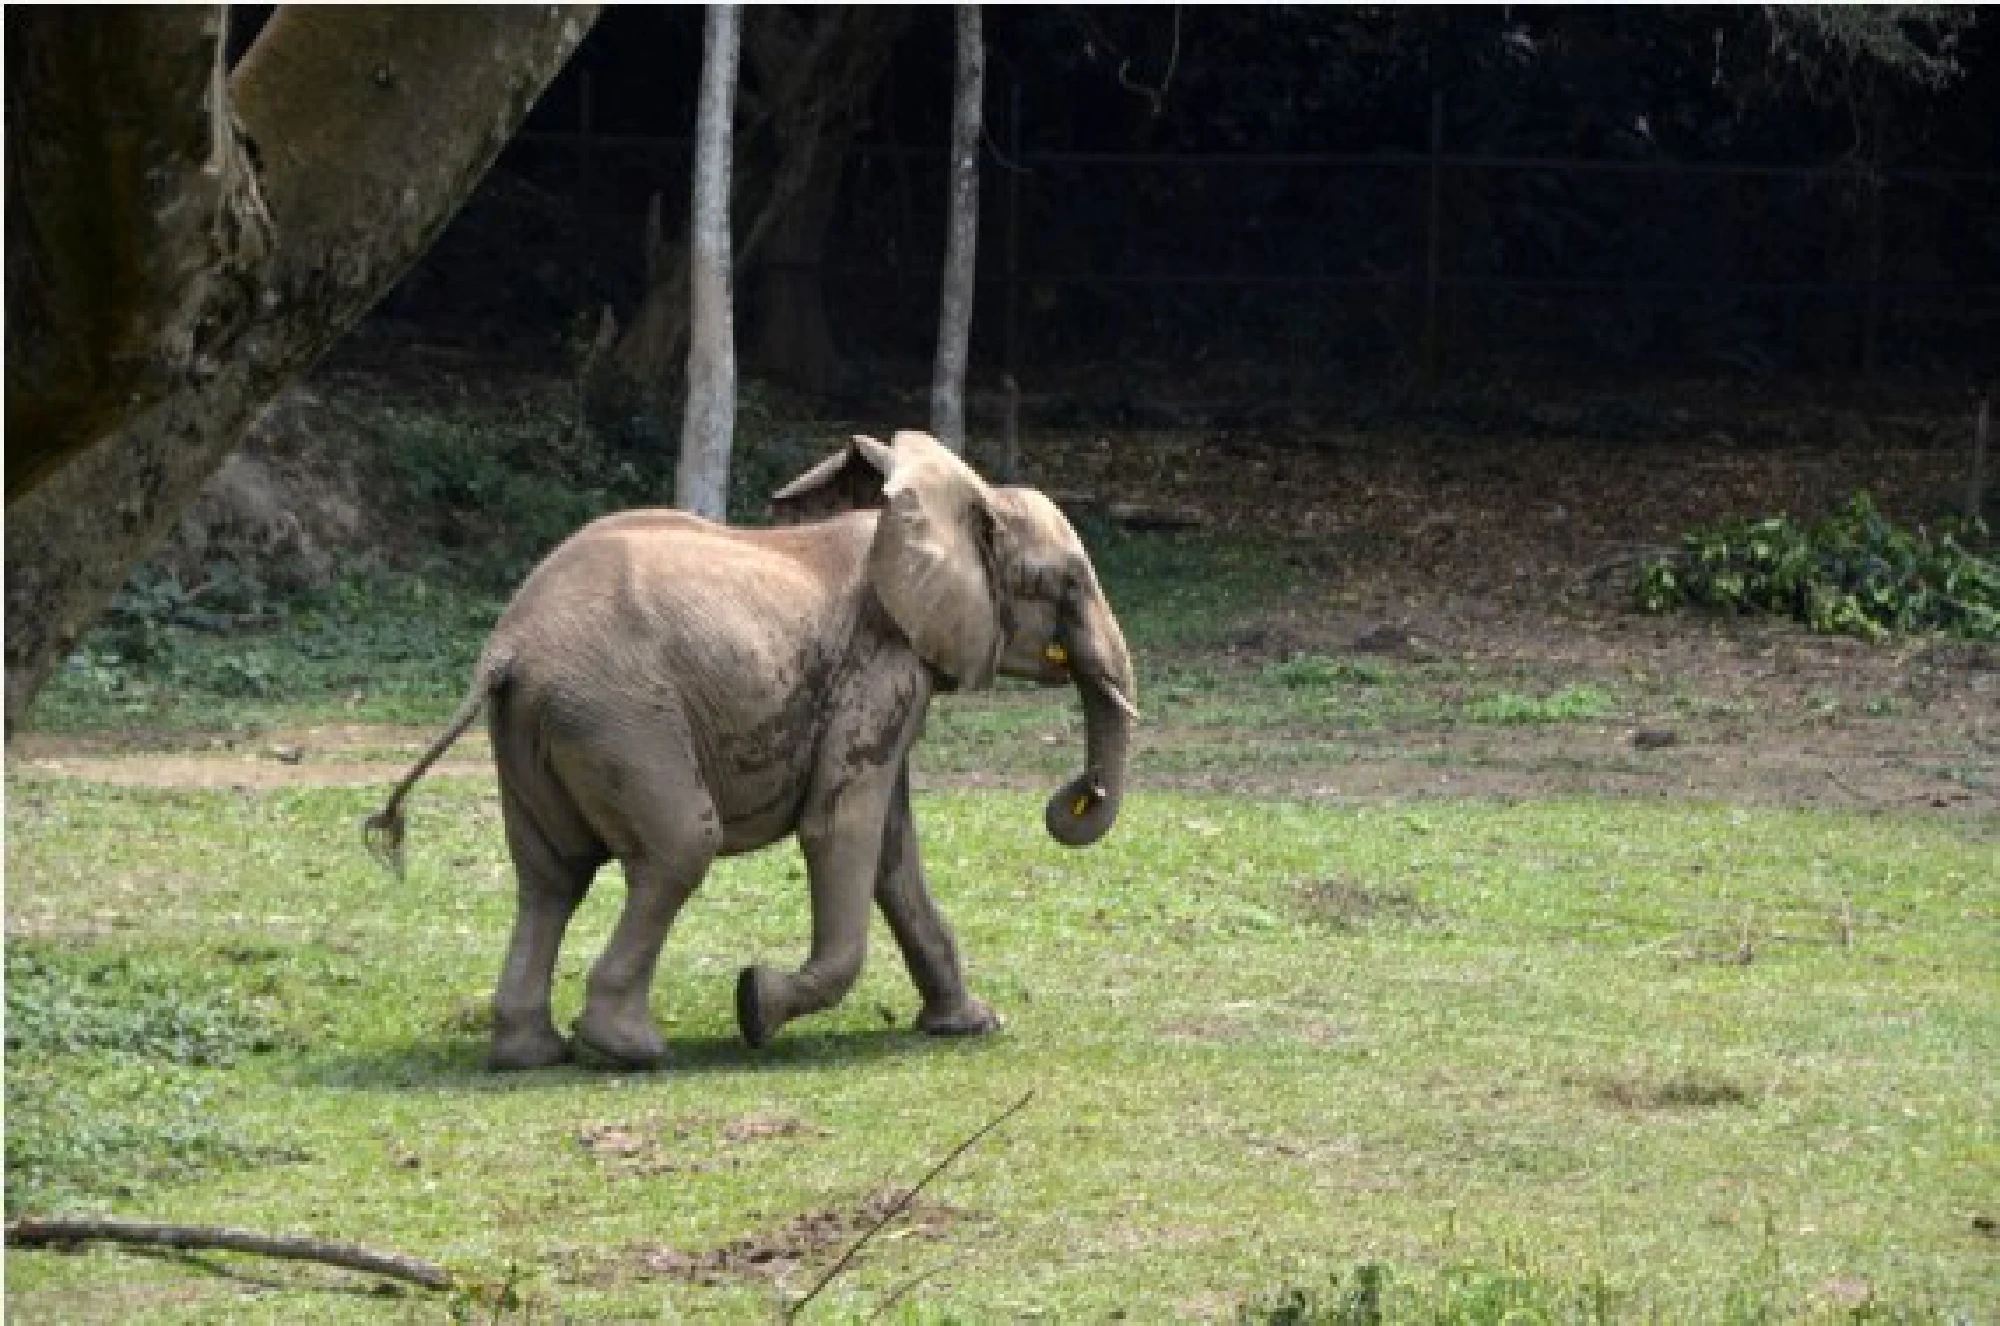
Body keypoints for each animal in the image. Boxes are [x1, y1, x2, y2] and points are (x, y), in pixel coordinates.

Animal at [365, 430, 1138, 1070]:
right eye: (1069, 583)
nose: (1078, 795)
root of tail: (506, 651)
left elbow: (890, 846)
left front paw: (970, 1026)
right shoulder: (879, 663)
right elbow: (840, 828)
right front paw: (756, 1006)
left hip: (538, 731)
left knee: (551, 877)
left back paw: (531, 1054)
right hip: (618, 717)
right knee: (678, 848)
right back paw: (630, 1052)